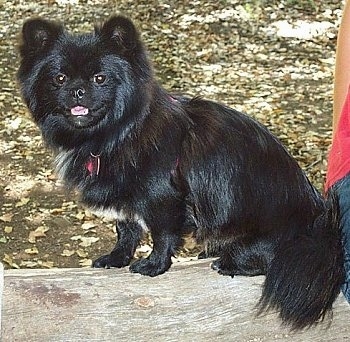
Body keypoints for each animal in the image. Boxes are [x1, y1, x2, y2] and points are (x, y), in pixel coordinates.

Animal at [17, 15, 344, 328]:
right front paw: (117, 258)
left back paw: (226, 262)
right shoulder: (126, 198)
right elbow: (126, 230)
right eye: (59, 79)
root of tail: (320, 227)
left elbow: (162, 235)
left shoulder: (163, 199)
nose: (77, 91)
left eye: (100, 78)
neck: (119, 133)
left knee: (260, 259)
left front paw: (153, 266)